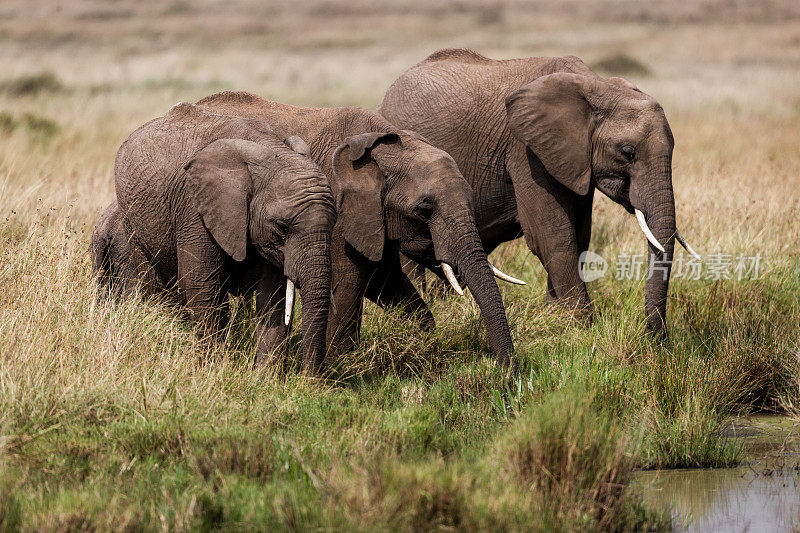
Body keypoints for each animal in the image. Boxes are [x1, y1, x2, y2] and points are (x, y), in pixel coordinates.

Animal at [102, 102, 334, 372]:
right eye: (282, 227)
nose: (309, 378)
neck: (269, 151)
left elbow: (273, 297)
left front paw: (264, 378)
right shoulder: (194, 207)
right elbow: (201, 284)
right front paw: (210, 369)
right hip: (132, 220)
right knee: (147, 280)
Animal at [197, 91, 516, 366]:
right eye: (424, 211)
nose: (505, 374)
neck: (388, 148)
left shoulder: (375, 219)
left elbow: (386, 282)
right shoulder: (340, 211)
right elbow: (348, 286)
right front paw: (339, 367)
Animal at [378, 47, 696, 334]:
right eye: (628, 152)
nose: (654, 336)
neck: (597, 86)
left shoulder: (572, 158)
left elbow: (579, 233)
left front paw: (556, 318)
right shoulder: (526, 150)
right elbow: (551, 234)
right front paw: (581, 326)